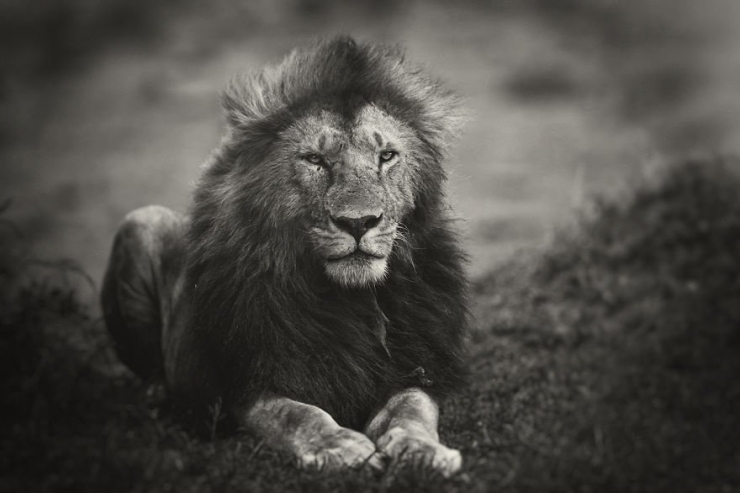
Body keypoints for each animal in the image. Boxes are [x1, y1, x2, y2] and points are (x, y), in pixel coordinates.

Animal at [101, 36, 468, 476]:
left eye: (386, 157)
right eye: (315, 160)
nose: (359, 222)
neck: (352, 299)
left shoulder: (415, 366)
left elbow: (412, 408)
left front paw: (422, 449)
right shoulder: (246, 385)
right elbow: (298, 414)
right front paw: (340, 444)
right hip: (140, 222)